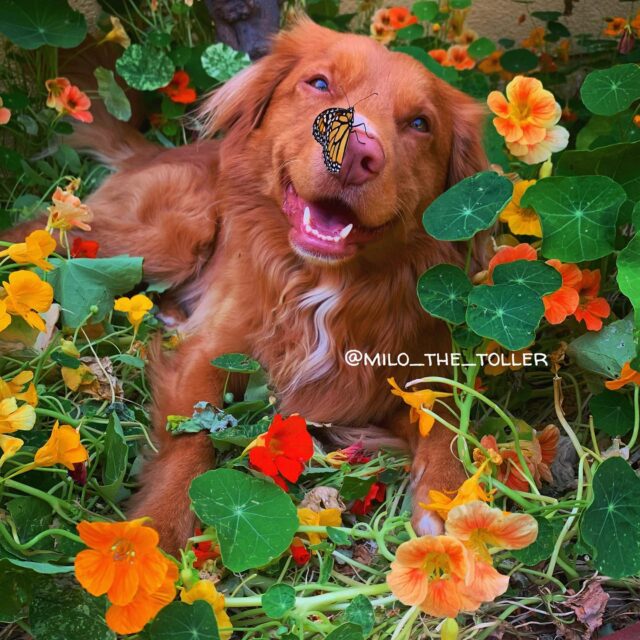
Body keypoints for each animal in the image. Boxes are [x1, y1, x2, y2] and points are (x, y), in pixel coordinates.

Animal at [7, 17, 488, 552]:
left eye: (421, 124)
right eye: (319, 83)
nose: (356, 153)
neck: (319, 287)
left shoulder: (406, 377)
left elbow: (446, 420)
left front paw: (450, 494)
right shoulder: (210, 356)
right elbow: (191, 436)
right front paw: (159, 531)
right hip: (169, 234)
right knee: (39, 236)